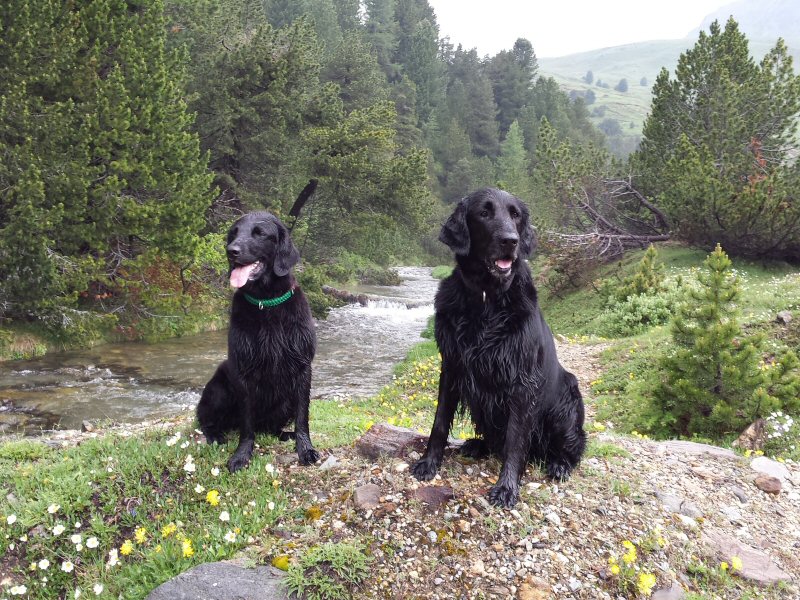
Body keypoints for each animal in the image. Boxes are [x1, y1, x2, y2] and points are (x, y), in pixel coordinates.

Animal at [196, 211, 319, 472]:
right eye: (233, 233)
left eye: (260, 233)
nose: (231, 251)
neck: (267, 302)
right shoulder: (244, 370)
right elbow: (247, 425)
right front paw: (242, 455)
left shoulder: (303, 367)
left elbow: (303, 417)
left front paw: (305, 449)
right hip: (219, 388)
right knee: (206, 420)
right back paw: (216, 435)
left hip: (285, 400)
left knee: (273, 427)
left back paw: (285, 434)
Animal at [411, 188, 586, 508]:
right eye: (484, 213)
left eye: (515, 215)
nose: (510, 241)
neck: (485, 298)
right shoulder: (451, 366)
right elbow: (439, 422)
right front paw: (429, 463)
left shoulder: (522, 381)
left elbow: (516, 439)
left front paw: (506, 487)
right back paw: (476, 445)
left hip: (567, 400)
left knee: (573, 447)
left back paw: (559, 464)